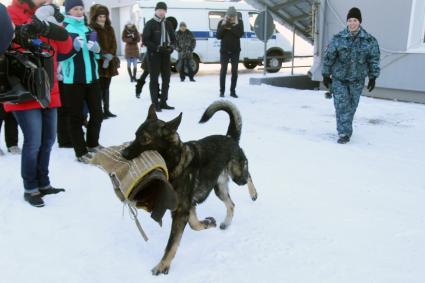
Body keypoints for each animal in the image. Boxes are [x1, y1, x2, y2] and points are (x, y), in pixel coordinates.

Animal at [121, 101, 256, 276]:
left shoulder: (181, 211)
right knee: (231, 204)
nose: (123, 153)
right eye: (135, 134)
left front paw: (162, 266)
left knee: (248, 175)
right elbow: (194, 225)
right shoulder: (187, 206)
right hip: (219, 189)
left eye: (145, 139)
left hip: (237, 175)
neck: (175, 161)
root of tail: (229, 137)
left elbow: (171, 244)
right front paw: (207, 223)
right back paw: (226, 223)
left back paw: (254, 194)